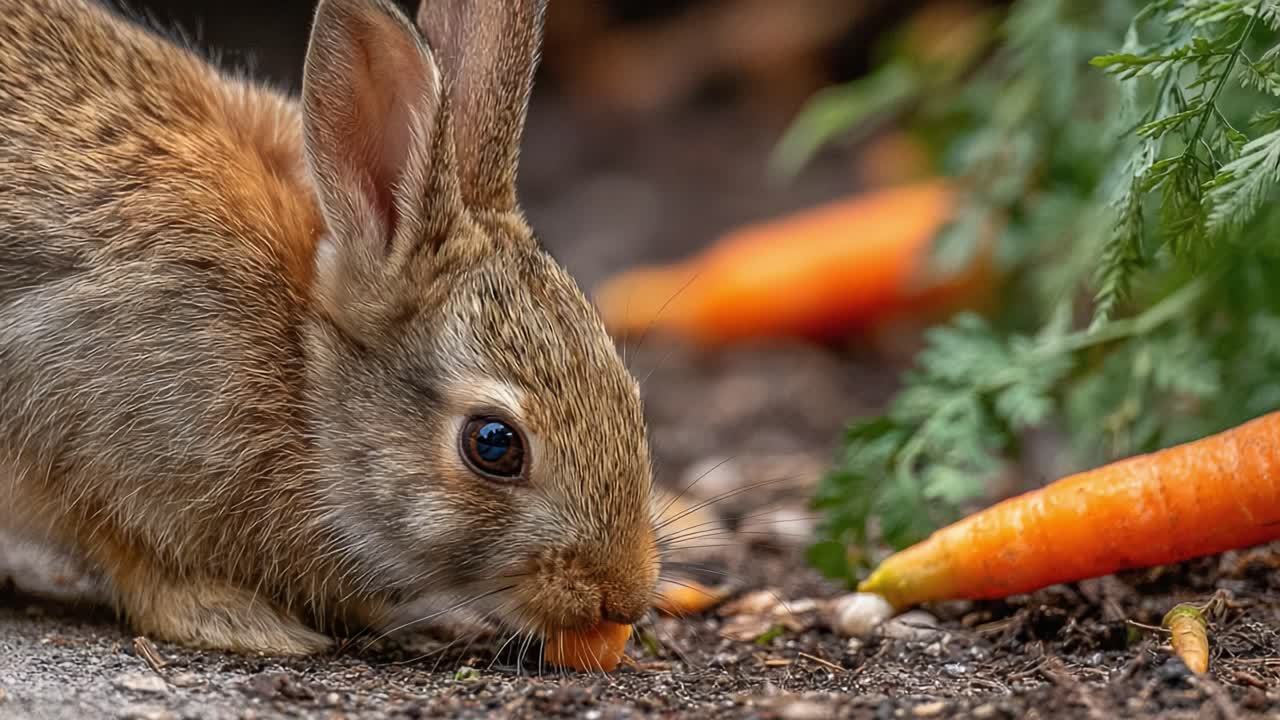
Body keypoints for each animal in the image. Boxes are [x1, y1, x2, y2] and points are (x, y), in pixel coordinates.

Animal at [0, 0, 661, 656]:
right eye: (494, 444)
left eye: (632, 397)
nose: (623, 597)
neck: (304, 370)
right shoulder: (78, 416)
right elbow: (133, 555)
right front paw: (244, 622)